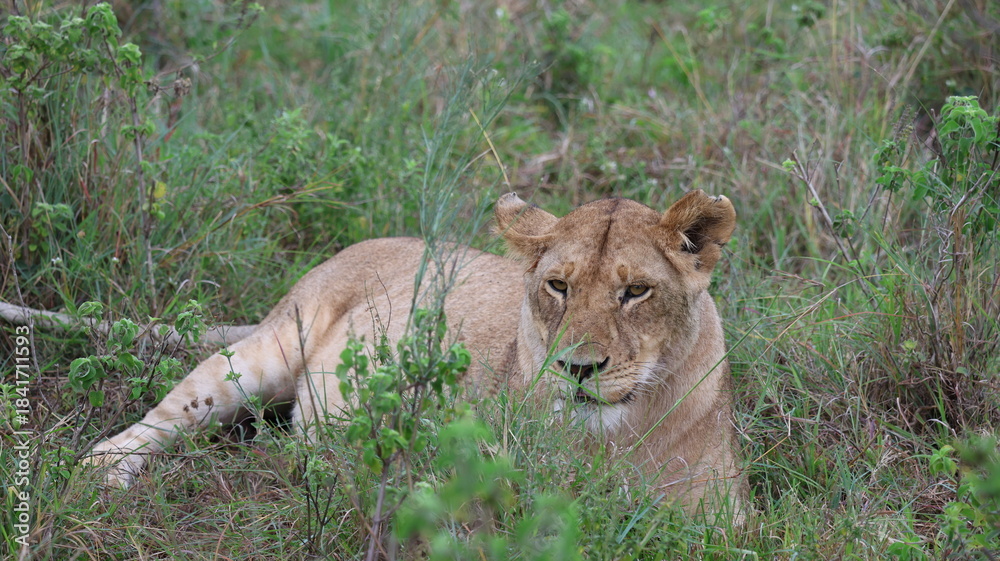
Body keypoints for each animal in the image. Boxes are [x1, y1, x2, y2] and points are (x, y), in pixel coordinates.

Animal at [87, 190, 745, 519]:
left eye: (636, 292)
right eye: (558, 286)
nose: (577, 369)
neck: (612, 435)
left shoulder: (721, 521)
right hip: (260, 356)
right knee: (159, 419)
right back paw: (103, 477)